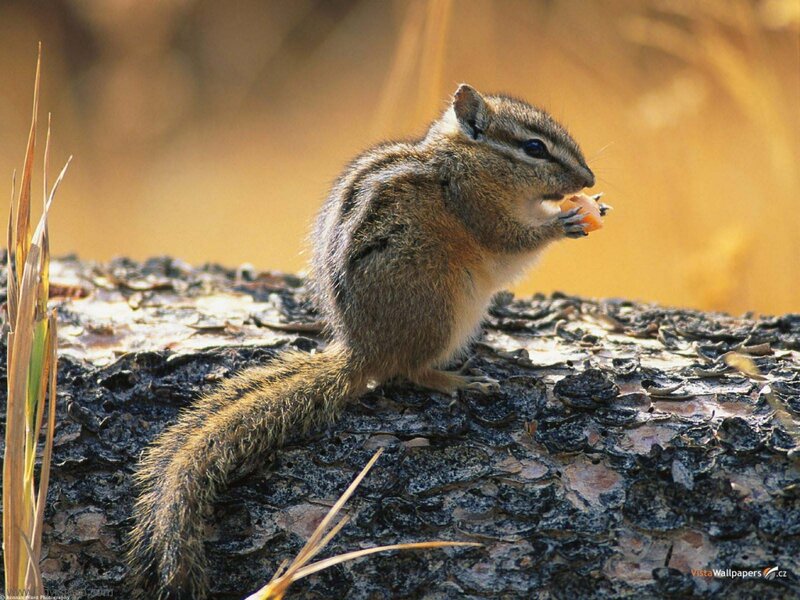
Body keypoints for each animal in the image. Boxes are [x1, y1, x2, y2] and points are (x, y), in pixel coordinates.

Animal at [128, 84, 596, 599]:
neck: (464, 161)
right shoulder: (478, 208)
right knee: (410, 370)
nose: (590, 178)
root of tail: (361, 351)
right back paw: (458, 381)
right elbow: (513, 239)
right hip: (441, 307)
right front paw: (563, 222)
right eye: (534, 147)